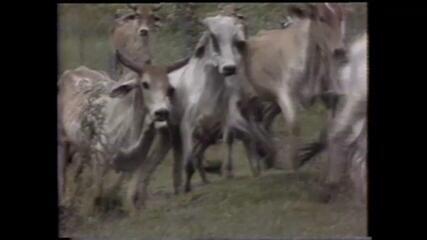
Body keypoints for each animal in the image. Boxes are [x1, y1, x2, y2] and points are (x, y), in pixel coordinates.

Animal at [57, 49, 188, 214]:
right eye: (145, 84)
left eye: (169, 88)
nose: (162, 112)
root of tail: (74, 71)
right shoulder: (98, 158)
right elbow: (97, 195)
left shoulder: (138, 161)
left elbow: (132, 193)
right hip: (62, 140)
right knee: (63, 175)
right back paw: (64, 202)